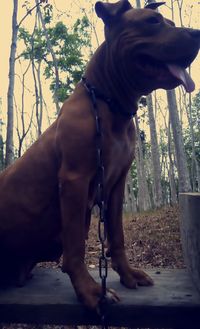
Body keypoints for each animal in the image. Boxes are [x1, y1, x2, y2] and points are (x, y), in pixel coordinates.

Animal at [0, 0, 199, 308]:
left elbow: (116, 235)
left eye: (169, 22)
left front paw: (127, 274)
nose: (197, 33)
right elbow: (74, 247)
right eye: (152, 21)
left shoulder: (116, 185)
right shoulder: (74, 180)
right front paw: (90, 291)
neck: (109, 103)